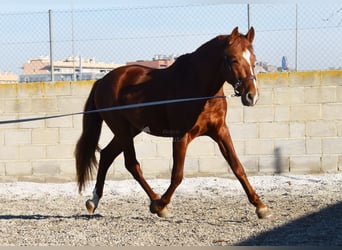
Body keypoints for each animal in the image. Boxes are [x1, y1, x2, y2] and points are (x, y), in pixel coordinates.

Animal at [75, 27, 272, 219]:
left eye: (253, 60)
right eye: (233, 60)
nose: (252, 96)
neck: (199, 89)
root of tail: (102, 81)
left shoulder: (220, 131)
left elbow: (237, 167)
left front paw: (260, 206)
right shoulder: (181, 136)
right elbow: (177, 175)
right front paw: (161, 204)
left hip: (130, 131)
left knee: (107, 155)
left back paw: (93, 200)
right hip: (123, 131)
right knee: (131, 164)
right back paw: (155, 201)